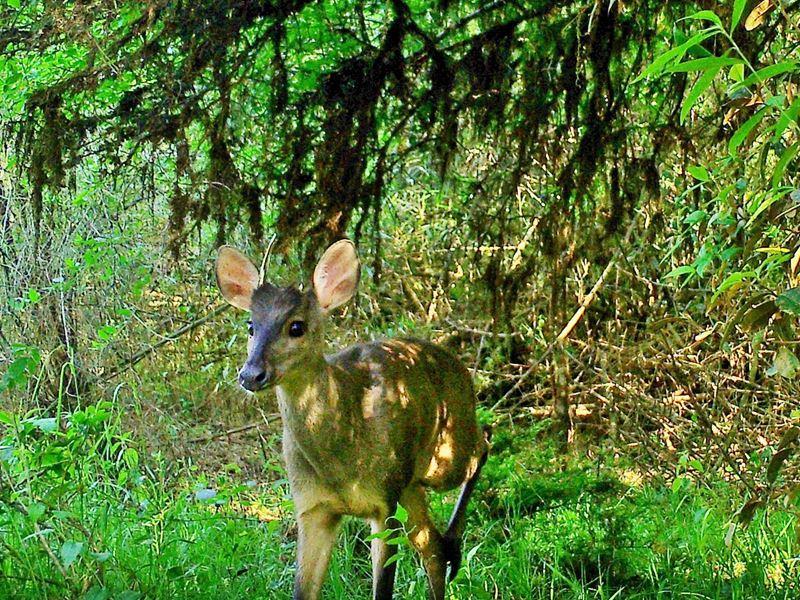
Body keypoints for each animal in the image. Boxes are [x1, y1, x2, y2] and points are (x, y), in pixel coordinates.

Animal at [214, 240, 488, 600]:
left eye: (296, 326)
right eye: (250, 326)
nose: (251, 374)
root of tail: (459, 367)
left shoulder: (384, 503)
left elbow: (382, 590)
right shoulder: (312, 507)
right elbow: (303, 591)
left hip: (442, 456)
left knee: (482, 447)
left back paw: (456, 545)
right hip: (410, 485)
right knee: (431, 546)